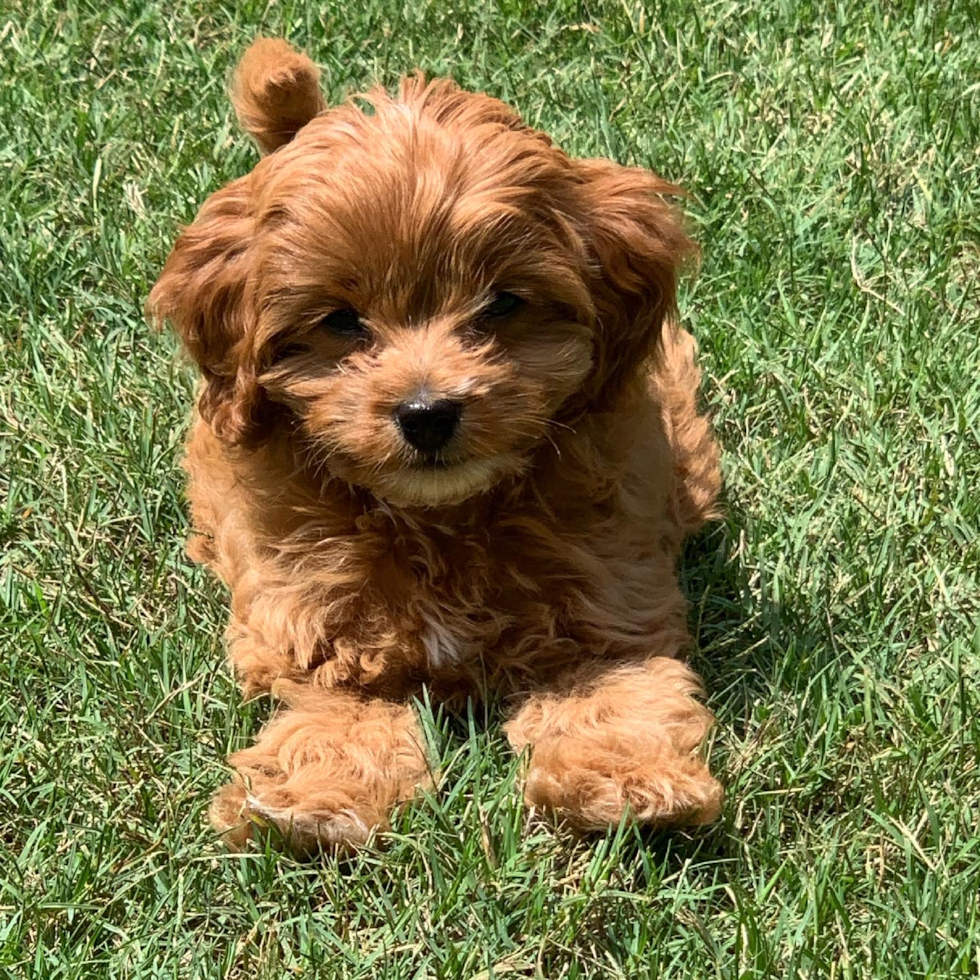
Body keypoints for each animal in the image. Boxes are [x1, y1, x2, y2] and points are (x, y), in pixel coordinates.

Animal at [149, 36, 724, 848]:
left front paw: (625, 781)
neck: (443, 518)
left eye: (502, 303)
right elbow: (337, 714)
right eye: (341, 320)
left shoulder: (611, 598)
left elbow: (617, 691)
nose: (426, 413)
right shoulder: (319, 624)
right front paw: (314, 803)